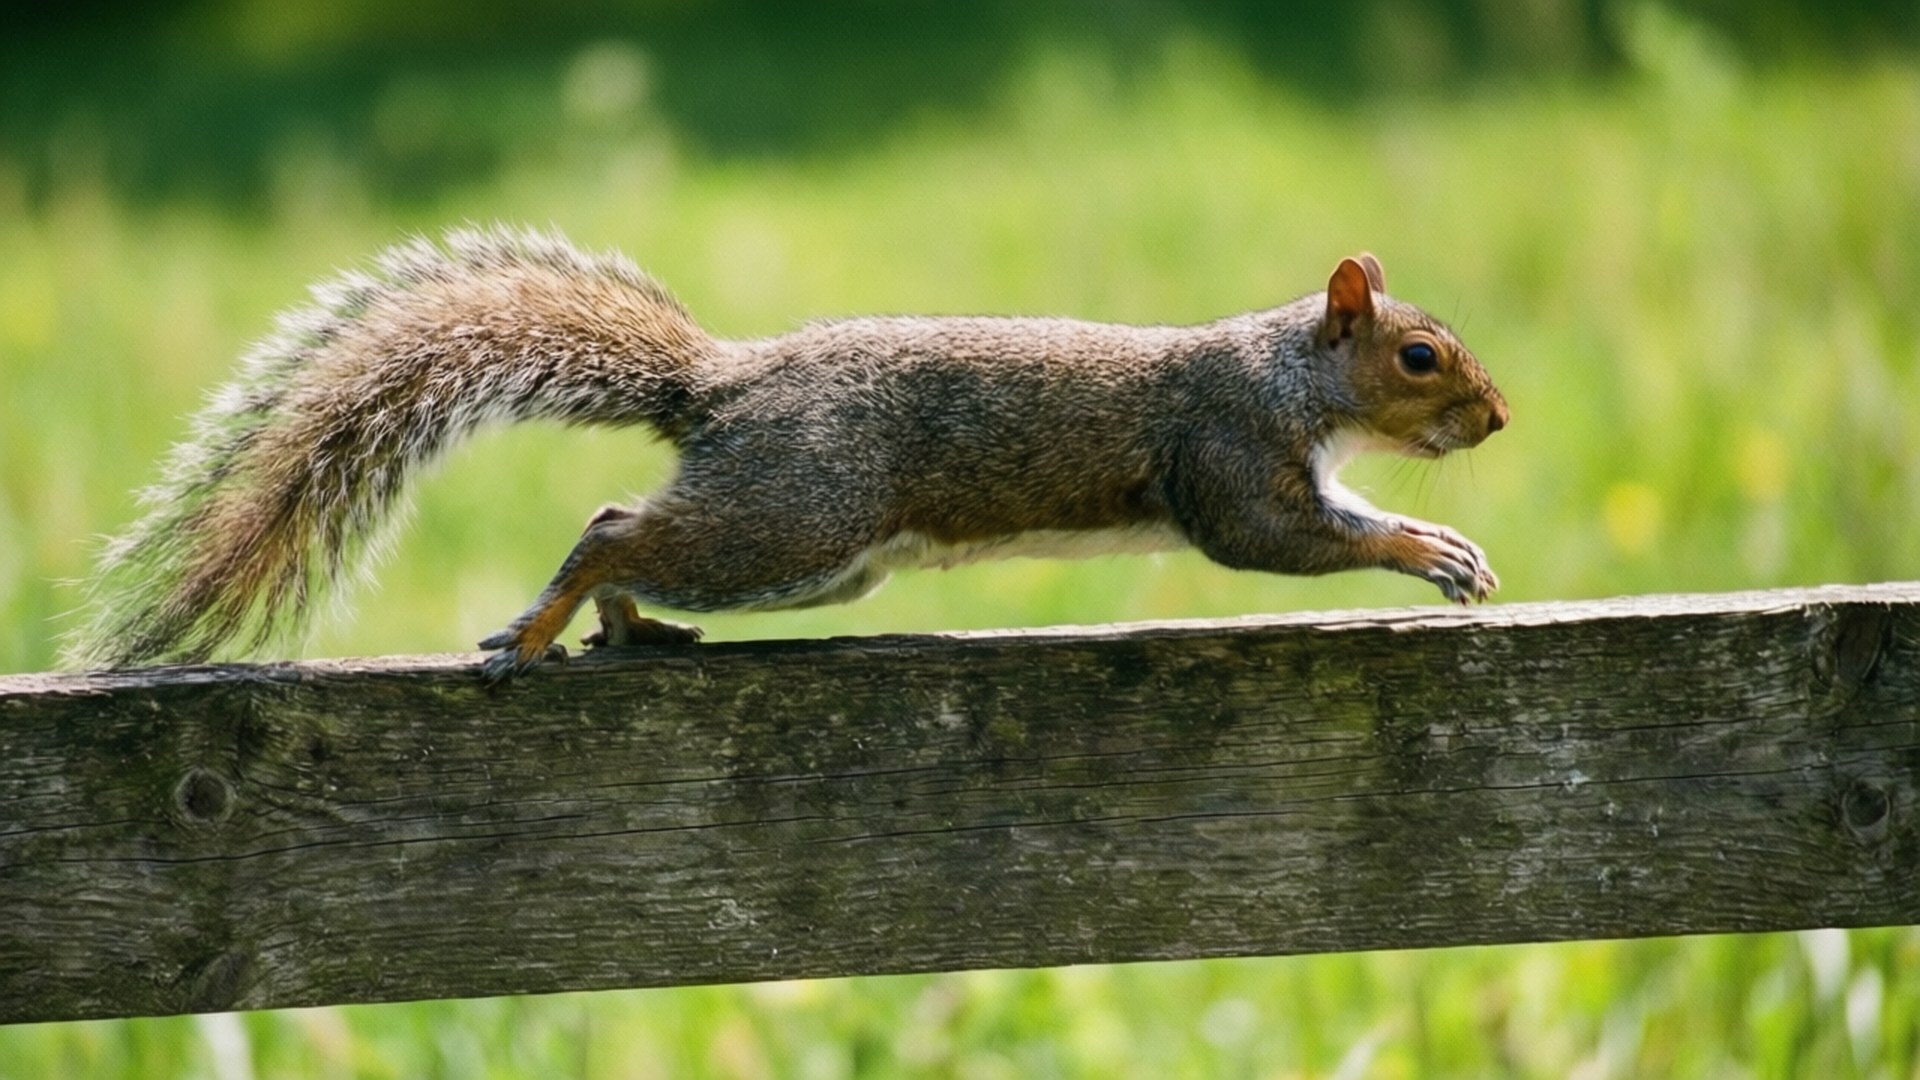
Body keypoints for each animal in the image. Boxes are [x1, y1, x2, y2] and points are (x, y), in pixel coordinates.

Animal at [65, 226, 1508, 680]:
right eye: (1418, 357)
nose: (1498, 420)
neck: (1290, 374)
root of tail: (721, 390)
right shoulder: (1227, 452)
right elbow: (1277, 539)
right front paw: (1432, 547)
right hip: (795, 521)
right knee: (612, 529)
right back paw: (544, 629)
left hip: (808, 550)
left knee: (630, 537)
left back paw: (628, 630)